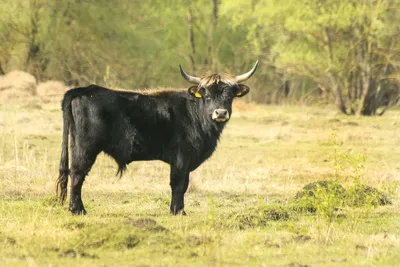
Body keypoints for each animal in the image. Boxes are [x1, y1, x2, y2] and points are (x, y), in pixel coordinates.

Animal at [57, 61, 260, 216]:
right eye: (207, 96)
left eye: (230, 96)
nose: (220, 113)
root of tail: (83, 90)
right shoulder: (181, 159)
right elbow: (178, 185)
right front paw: (179, 212)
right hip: (86, 148)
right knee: (77, 174)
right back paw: (78, 210)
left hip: (75, 145)